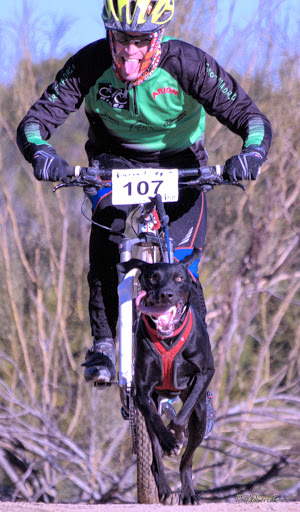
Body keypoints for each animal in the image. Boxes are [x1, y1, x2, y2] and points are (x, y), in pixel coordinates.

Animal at [118, 250, 216, 506]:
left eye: (179, 279)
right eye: (152, 277)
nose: (165, 293)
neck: (169, 337)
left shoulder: (205, 373)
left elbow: (183, 415)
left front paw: (177, 433)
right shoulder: (142, 391)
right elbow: (154, 418)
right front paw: (169, 440)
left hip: (201, 418)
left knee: (187, 460)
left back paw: (188, 492)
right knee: (155, 458)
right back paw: (163, 487)